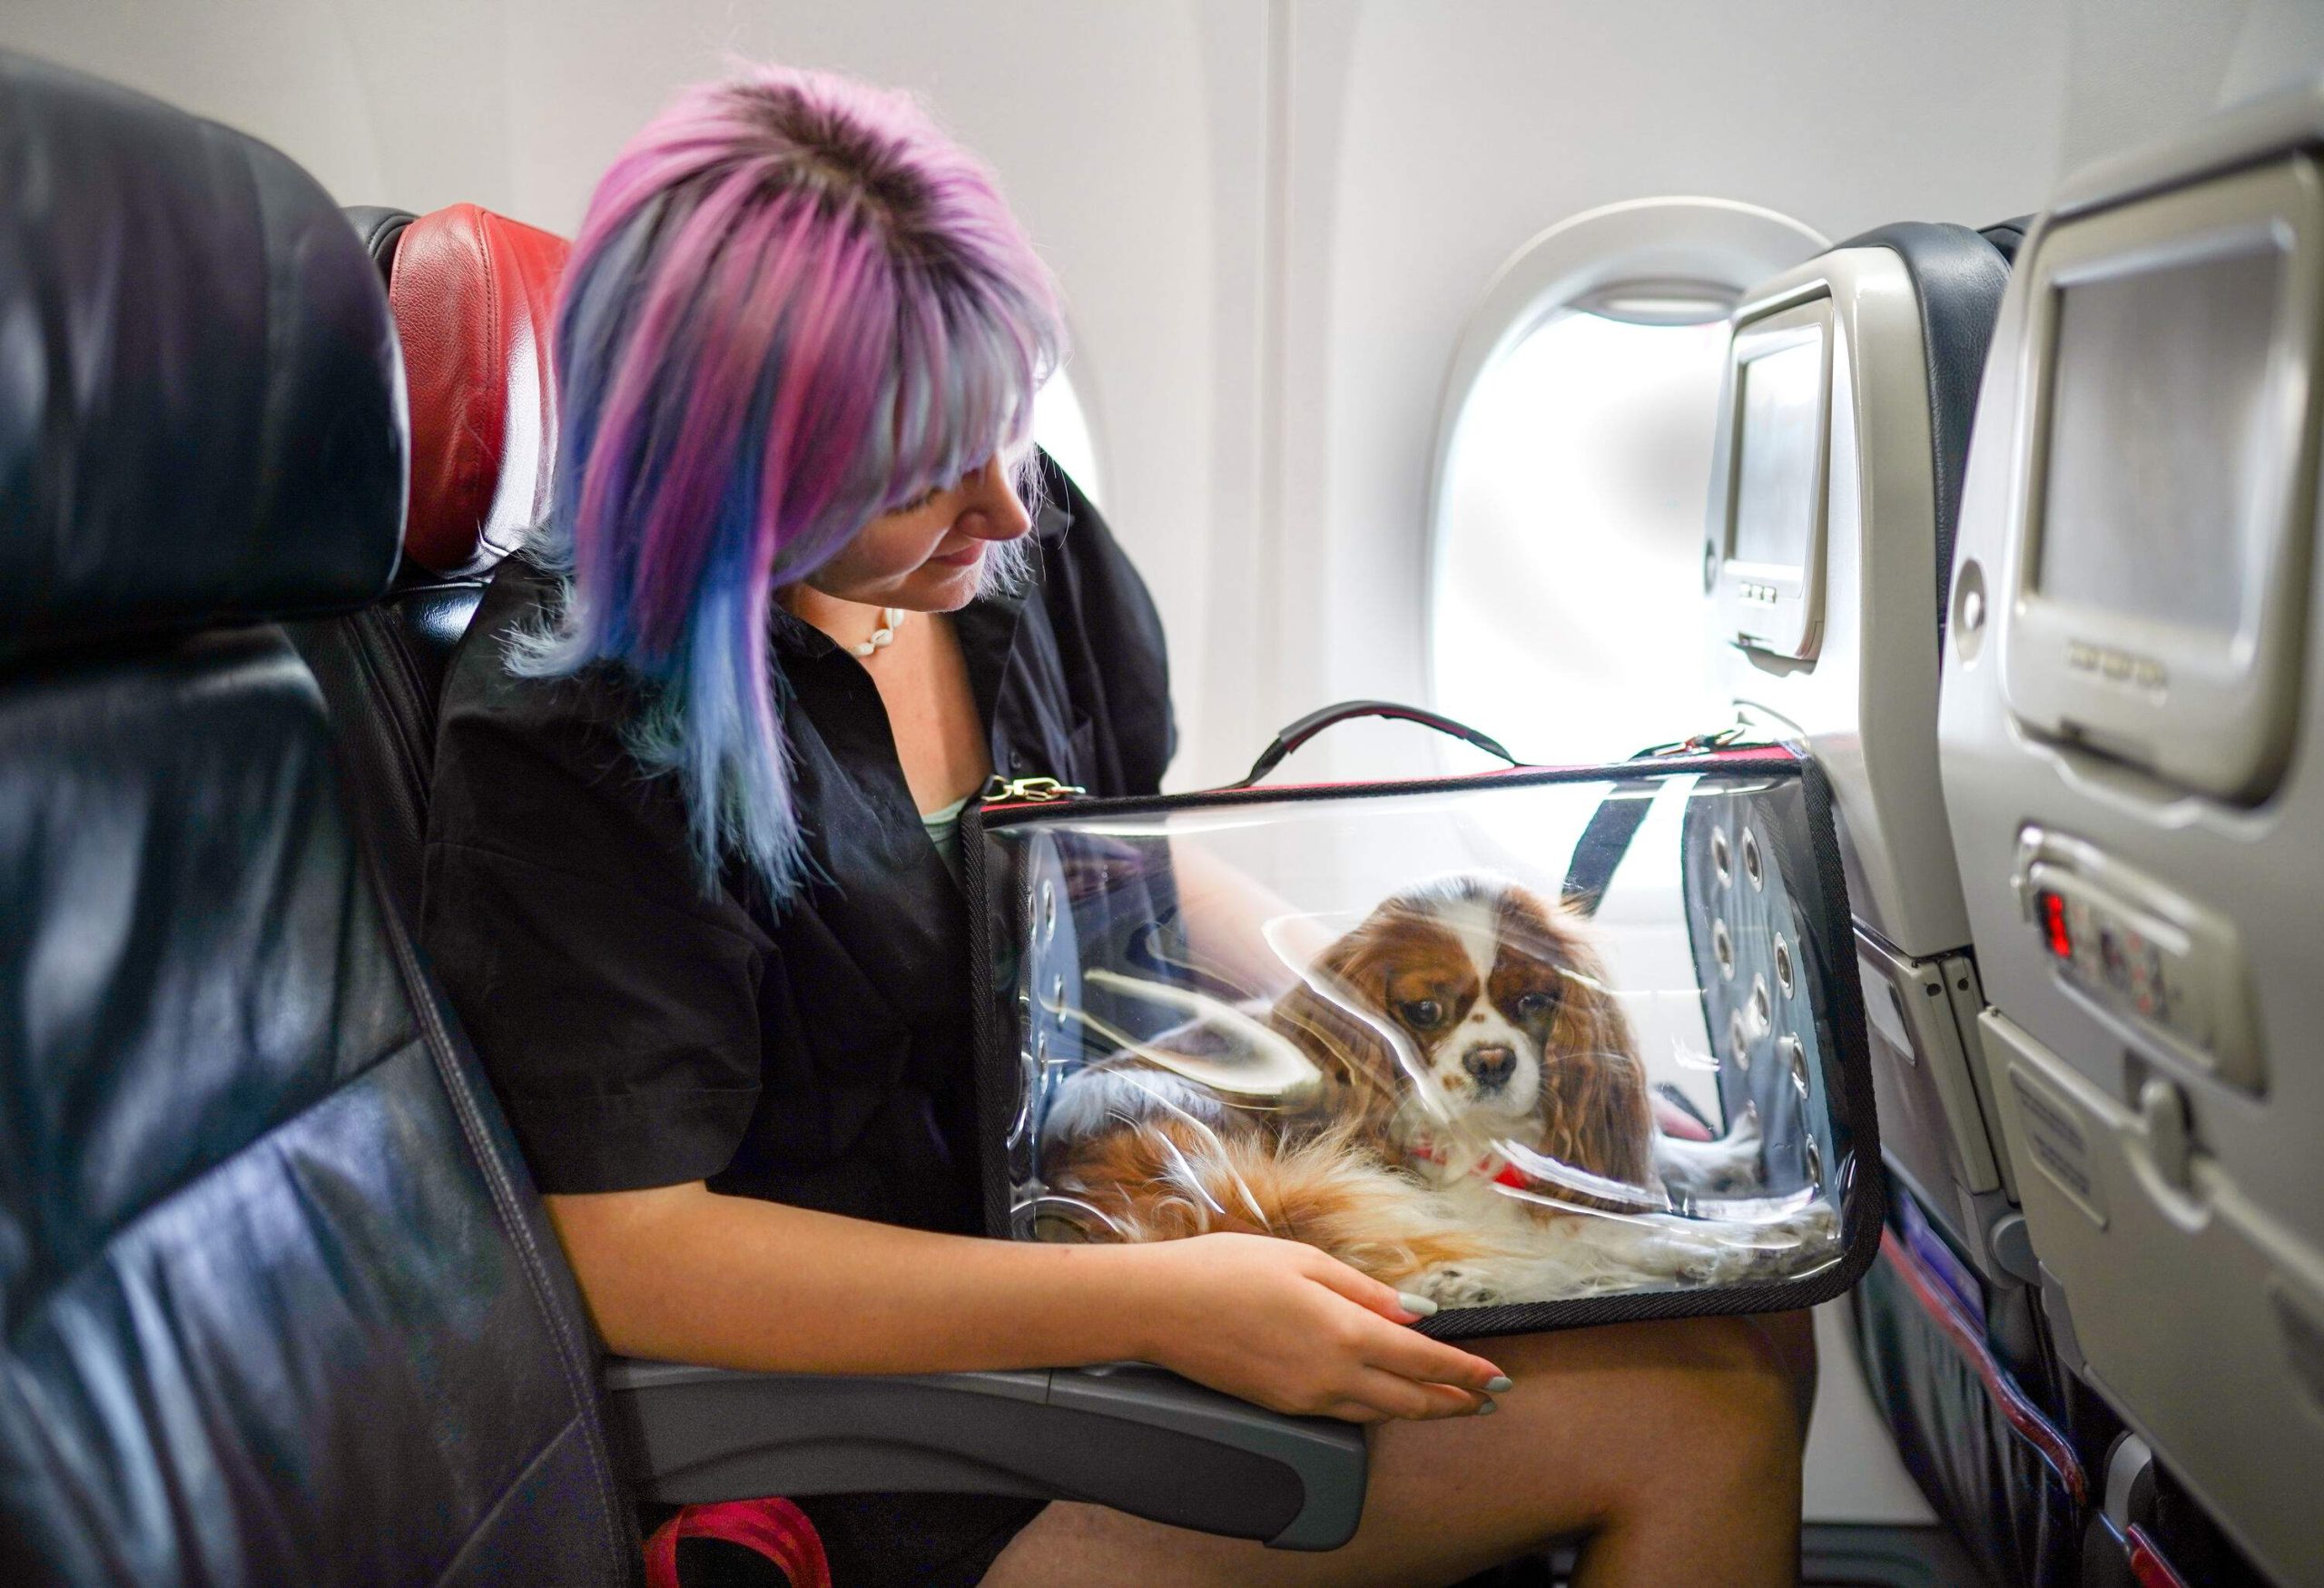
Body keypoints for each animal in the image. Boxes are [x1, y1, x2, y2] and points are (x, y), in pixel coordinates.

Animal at [1040, 873, 1831, 1311]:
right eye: (1424, 1010)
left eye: (1536, 1000)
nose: (1492, 1060)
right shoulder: (1482, 1206)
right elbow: (1637, 1230)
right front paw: (1767, 1236)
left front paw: (1729, 1160)